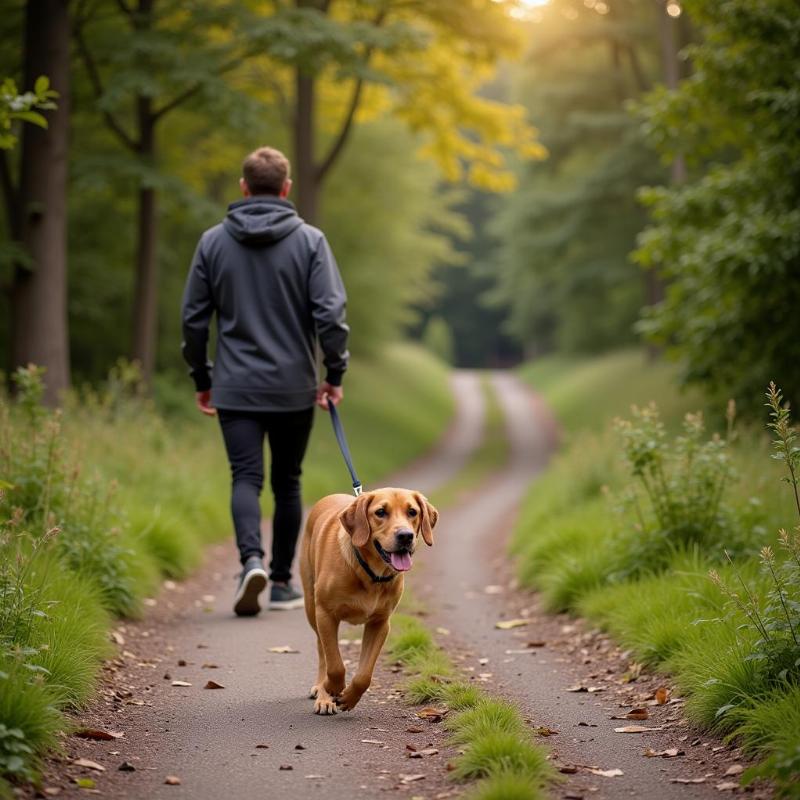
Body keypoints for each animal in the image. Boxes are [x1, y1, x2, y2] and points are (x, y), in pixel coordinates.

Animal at [298, 490, 438, 716]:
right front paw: (332, 688)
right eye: (380, 512)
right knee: (322, 650)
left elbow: (364, 675)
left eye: (412, 512)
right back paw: (323, 693)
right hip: (312, 607)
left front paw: (350, 697)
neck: (371, 574)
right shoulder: (326, 614)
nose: (405, 536)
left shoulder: (379, 623)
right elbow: (334, 664)